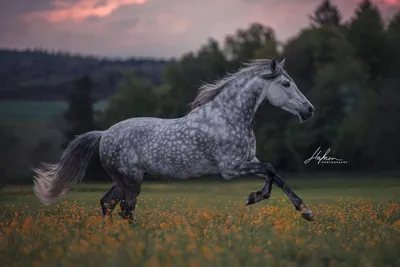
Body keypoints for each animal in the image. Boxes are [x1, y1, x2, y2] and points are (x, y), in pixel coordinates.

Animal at [33, 58, 316, 224]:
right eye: (286, 83)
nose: (309, 110)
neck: (229, 117)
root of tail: (103, 134)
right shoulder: (231, 168)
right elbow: (270, 170)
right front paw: (253, 197)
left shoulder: (249, 161)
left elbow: (277, 176)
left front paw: (306, 212)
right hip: (131, 181)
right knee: (125, 209)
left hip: (124, 180)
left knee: (108, 204)